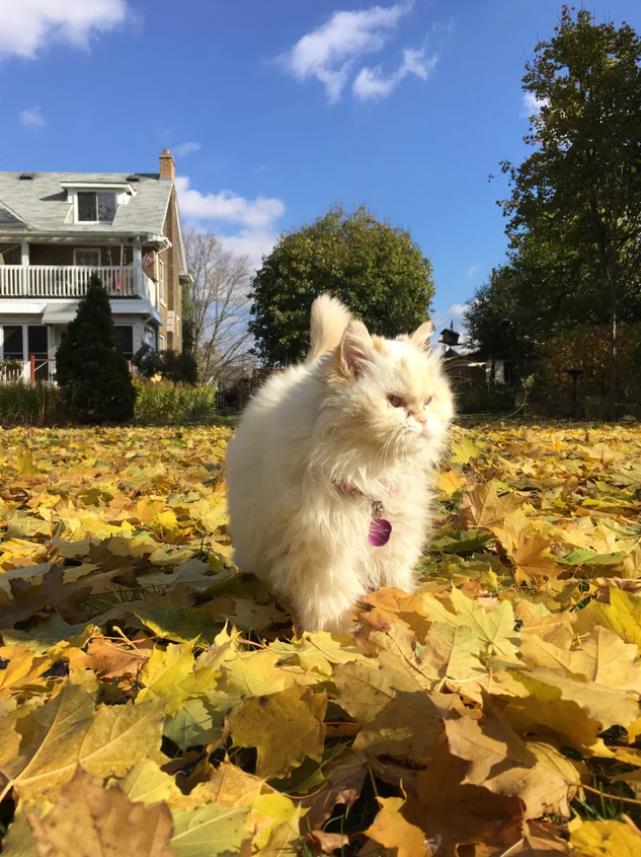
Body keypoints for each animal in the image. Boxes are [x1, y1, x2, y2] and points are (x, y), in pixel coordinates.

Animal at [225, 294, 456, 628]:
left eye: (428, 401)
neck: (369, 471)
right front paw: (336, 635)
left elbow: (395, 584)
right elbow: (330, 604)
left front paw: (400, 611)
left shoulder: (397, 545)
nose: (423, 420)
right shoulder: (323, 551)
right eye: (394, 402)